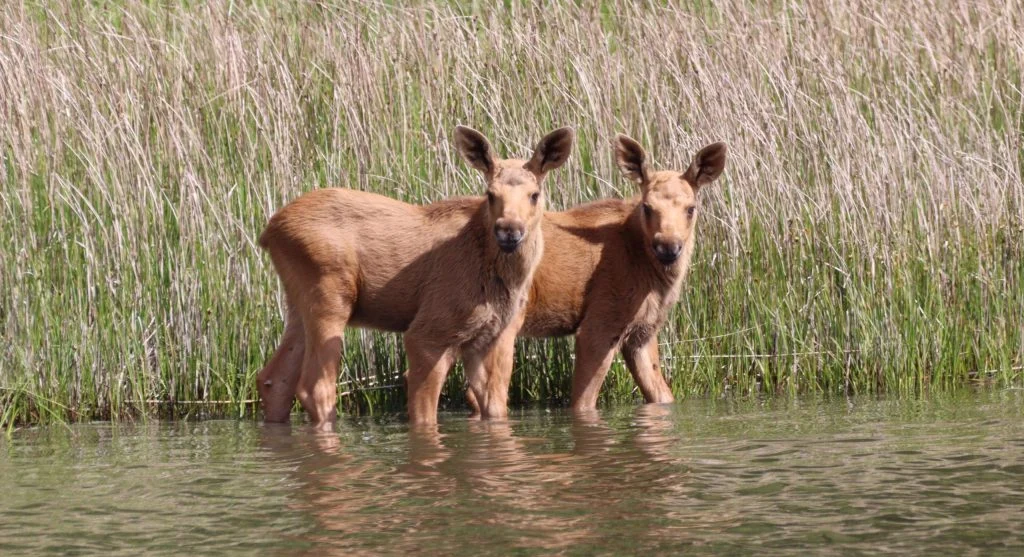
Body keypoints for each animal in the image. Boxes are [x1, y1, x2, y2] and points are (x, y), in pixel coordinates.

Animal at [256, 126, 574, 429]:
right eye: (490, 194)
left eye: (534, 194)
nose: (509, 231)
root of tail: (269, 231)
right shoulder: (427, 332)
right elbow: (424, 416)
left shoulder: (486, 338)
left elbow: (496, 411)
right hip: (330, 297)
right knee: (315, 386)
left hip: (298, 303)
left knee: (274, 379)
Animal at [466, 134, 727, 418]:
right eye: (647, 207)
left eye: (691, 209)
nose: (668, 247)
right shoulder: (599, 325)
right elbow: (583, 403)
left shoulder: (642, 332)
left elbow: (663, 397)